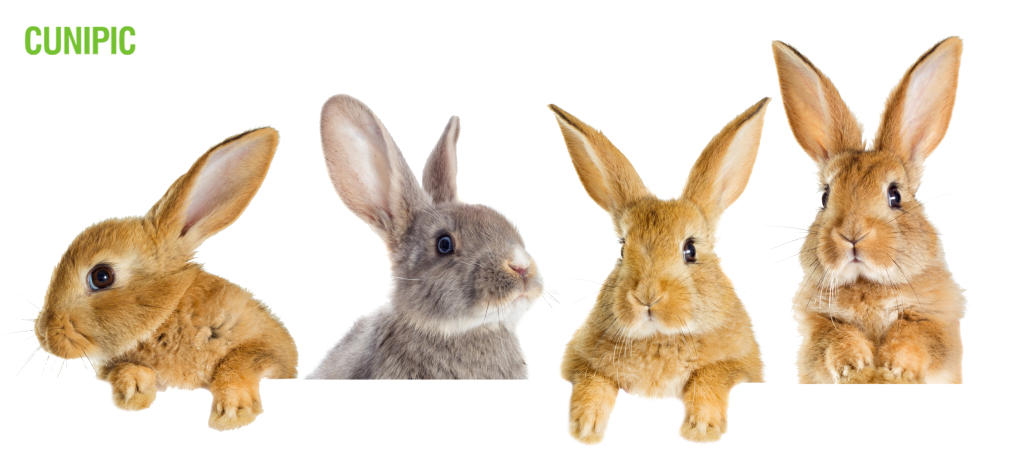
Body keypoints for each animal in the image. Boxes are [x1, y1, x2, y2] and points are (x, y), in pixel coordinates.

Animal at [33, 128, 299, 430]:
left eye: (101, 277)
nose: (44, 332)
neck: (169, 311)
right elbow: (124, 368)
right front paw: (133, 393)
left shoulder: (272, 346)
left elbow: (242, 360)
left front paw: (233, 413)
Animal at [550, 99, 768, 443]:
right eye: (622, 249)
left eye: (690, 250)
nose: (647, 297)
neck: (659, 337)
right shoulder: (580, 362)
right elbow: (593, 381)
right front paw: (585, 427)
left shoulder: (742, 365)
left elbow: (712, 375)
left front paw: (701, 429)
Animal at [772, 37, 966, 384]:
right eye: (825, 196)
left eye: (895, 195)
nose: (852, 234)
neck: (868, 284)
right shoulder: (819, 328)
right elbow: (835, 340)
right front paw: (856, 366)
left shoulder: (935, 322)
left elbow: (915, 337)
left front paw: (894, 368)